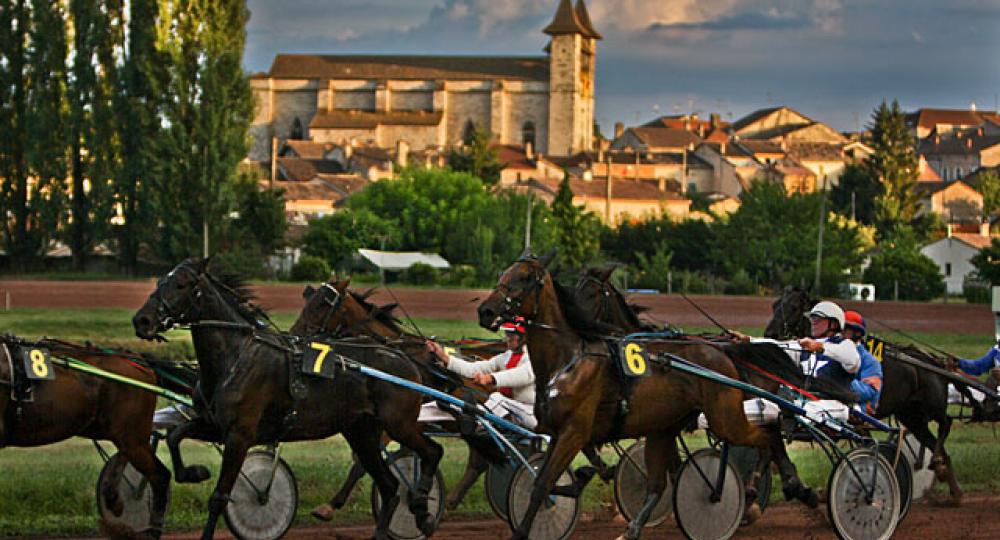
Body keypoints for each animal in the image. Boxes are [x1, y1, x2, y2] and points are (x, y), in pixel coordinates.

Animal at [0, 338, 174, 536]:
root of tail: (137, 361)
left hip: (132, 435)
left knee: (160, 476)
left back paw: (152, 527)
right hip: (108, 429)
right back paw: (113, 496)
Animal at [131, 260, 444, 536]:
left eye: (181, 284)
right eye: (160, 282)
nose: (141, 320)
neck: (236, 355)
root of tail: (404, 358)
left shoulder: (240, 435)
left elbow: (219, 497)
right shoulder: (214, 425)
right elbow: (175, 436)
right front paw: (194, 472)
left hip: (398, 423)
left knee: (432, 452)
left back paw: (421, 506)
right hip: (361, 432)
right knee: (389, 487)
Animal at [476, 253, 772, 540]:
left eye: (525, 278)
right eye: (504, 273)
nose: (485, 311)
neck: (567, 360)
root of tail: (720, 352)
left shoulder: (574, 432)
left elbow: (542, 484)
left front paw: (522, 531)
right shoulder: (558, 432)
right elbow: (550, 478)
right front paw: (583, 477)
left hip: (725, 418)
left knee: (767, 439)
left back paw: (744, 496)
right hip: (663, 428)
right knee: (657, 484)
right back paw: (632, 529)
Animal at [764, 284, 960, 504]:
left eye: (794, 307)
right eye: (774, 305)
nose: (769, 333)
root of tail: (930, 360)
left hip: (931, 404)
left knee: (946, 423)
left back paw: (939, 467)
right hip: (911, 415)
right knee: (935, 443)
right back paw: (952, 487)